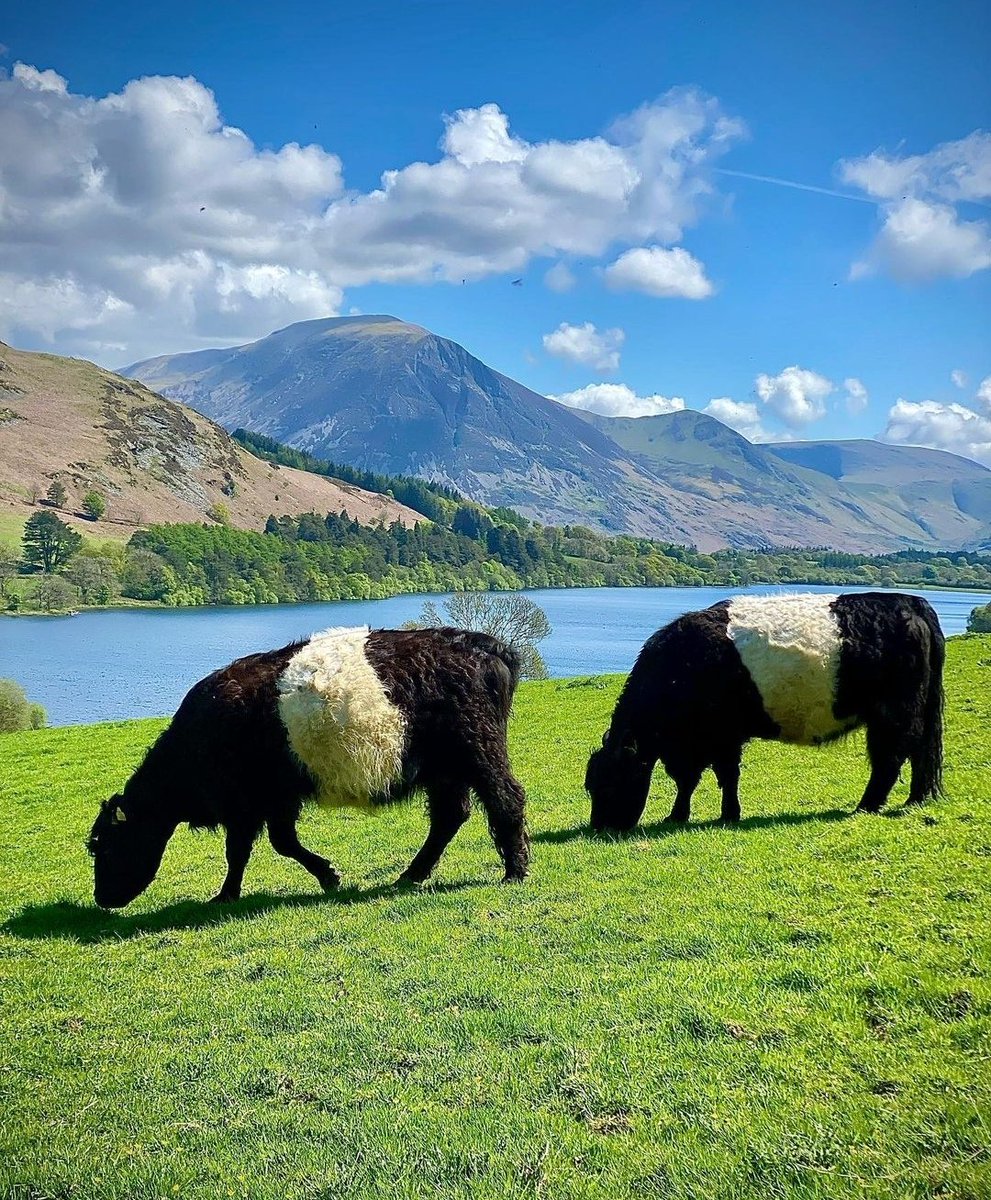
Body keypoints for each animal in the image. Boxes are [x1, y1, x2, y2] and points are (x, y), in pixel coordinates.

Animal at [88, 628, 527, 907]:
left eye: (105, 846)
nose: (102, 899)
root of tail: (484, 645)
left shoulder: (247, 804)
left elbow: (246, 850)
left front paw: (227, 895)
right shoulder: (273, 800)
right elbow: (279, 843)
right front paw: (326, 876)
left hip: (479, 754)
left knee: (506, 799)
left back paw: (515, 871)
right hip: (445, 770)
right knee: (449, 817)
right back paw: (411, 875)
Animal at [583, 592, 945, 835]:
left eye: (611, 783)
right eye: (591, 785)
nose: (600, 827)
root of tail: (911, 602)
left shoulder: (718, 737)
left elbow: (716, 776)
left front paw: (723, 814)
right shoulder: (696, 744)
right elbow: (693, 780)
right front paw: (684, 815)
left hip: (893, 714)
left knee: (890, 759)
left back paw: (866, 806)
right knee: (918, 755)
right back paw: (913, 801)